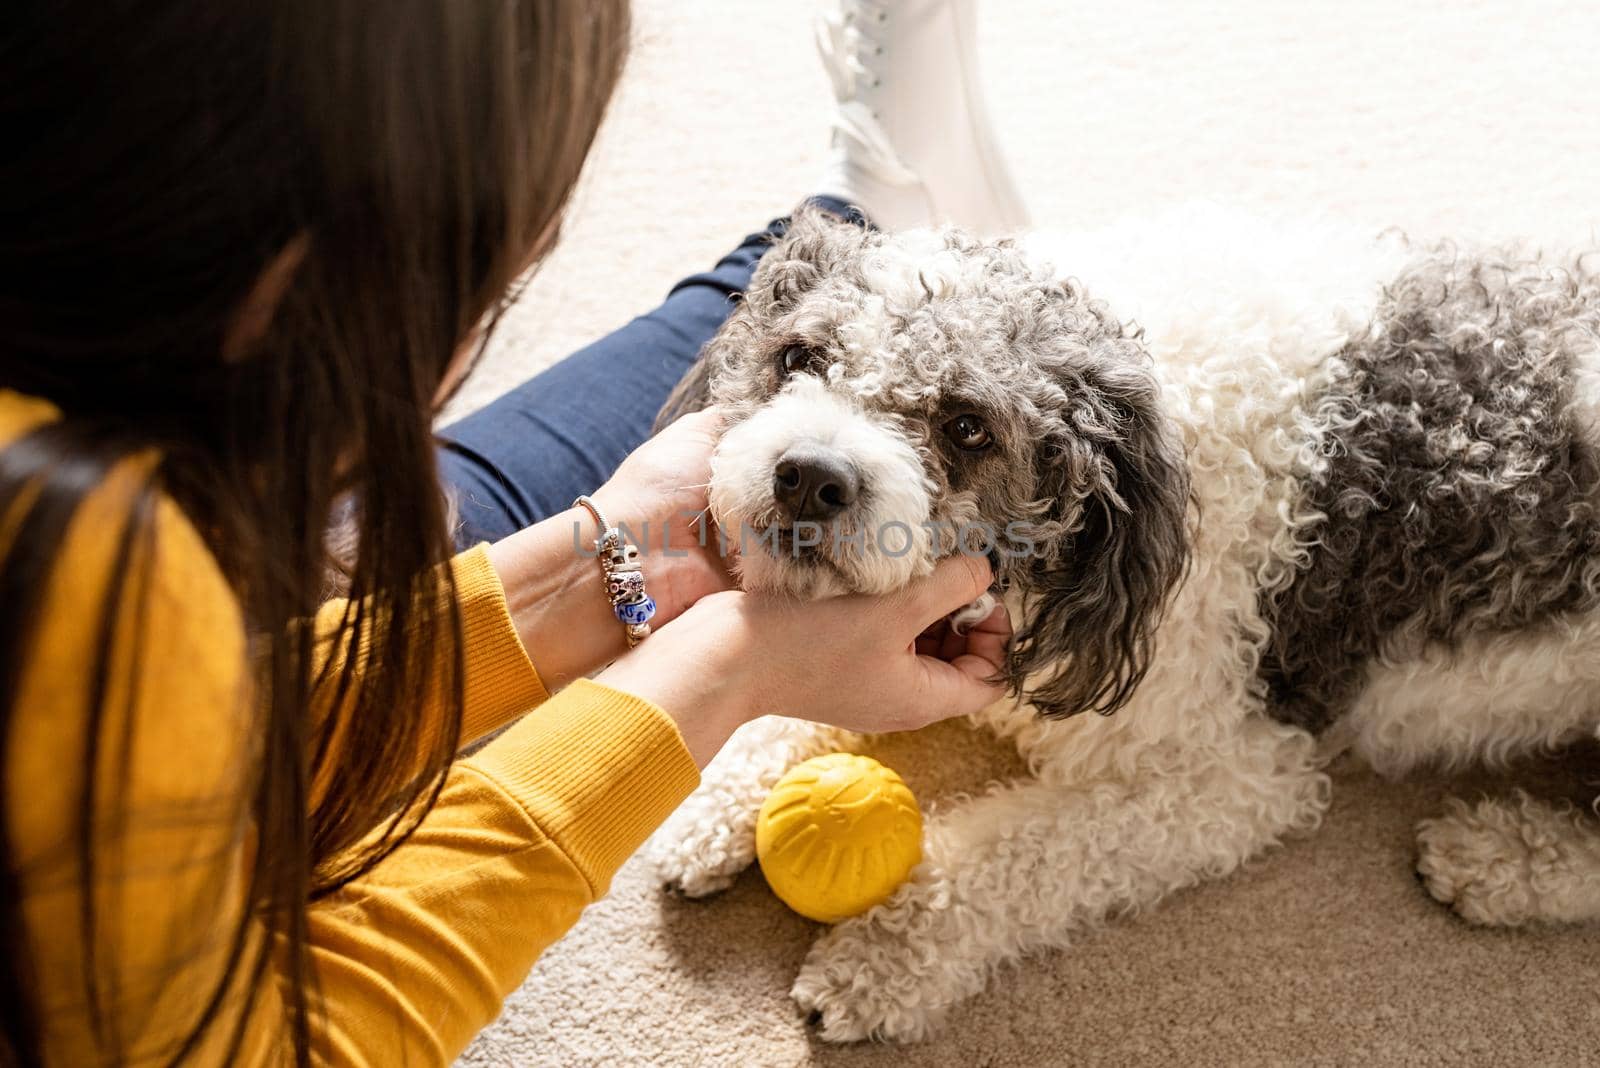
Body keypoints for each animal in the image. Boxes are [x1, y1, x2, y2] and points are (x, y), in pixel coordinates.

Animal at [646, 204, 1600, 1036]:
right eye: (800, 355)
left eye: (967, 426)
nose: (809, 476)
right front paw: (704, 801)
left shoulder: (1233, 777)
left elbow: (1018, 857)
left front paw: (880, 961)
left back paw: (1502, 860)